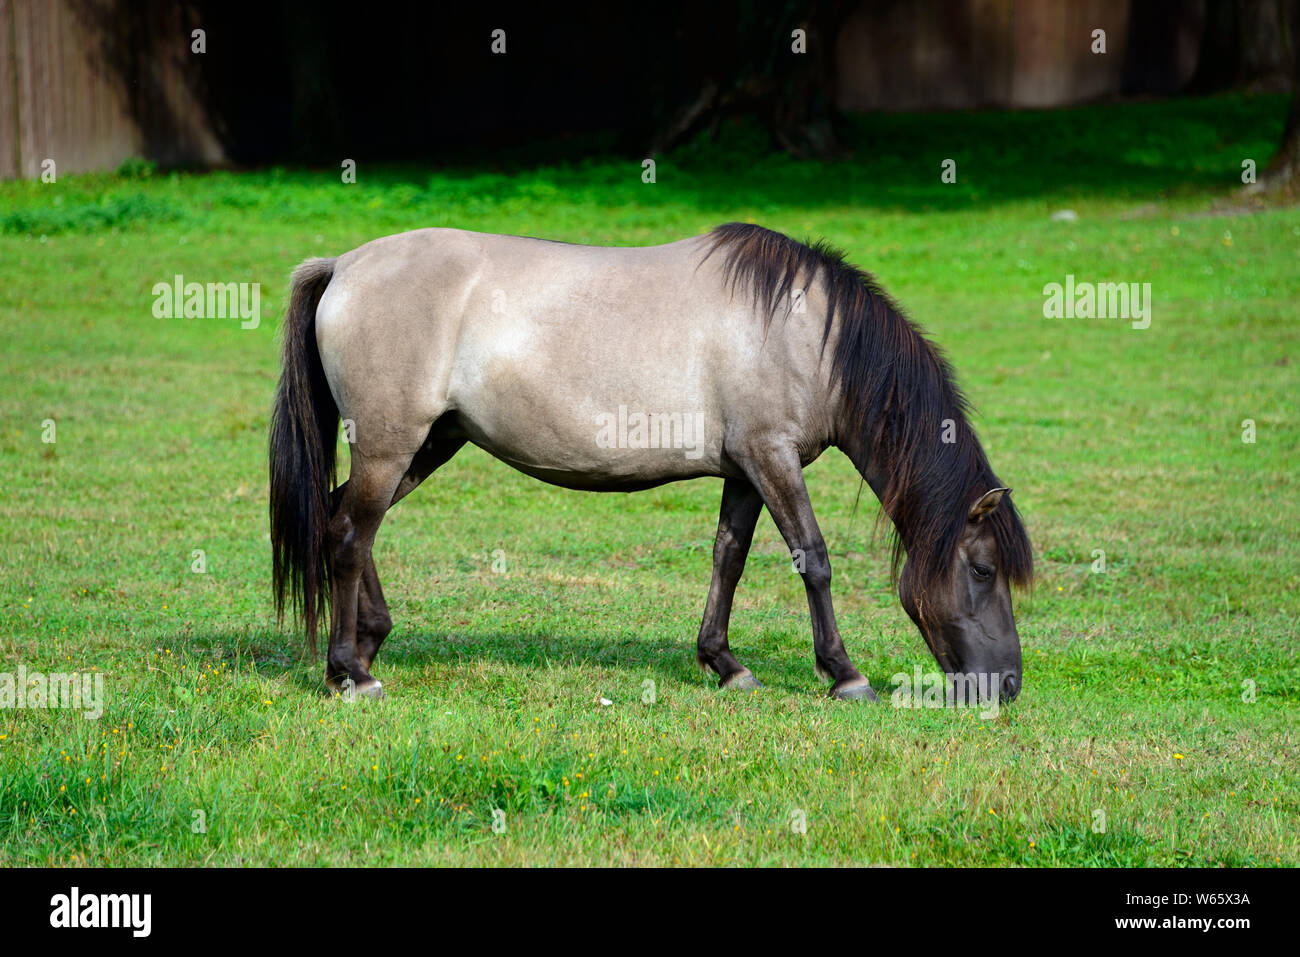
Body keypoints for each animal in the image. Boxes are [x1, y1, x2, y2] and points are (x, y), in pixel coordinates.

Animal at [269, 223, 1033, 703]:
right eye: (983, 569)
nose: (1008, 685)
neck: (801, 331)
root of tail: (344, 265)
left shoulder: (745, 470)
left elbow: (729, 558)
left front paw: (725, 663)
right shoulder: (772, 457)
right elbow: (812, 559)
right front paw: (845, 674)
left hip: (426, 443)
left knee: (343, 520)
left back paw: (369, 643)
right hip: (392, 443)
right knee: (348, 534)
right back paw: (351, 672)